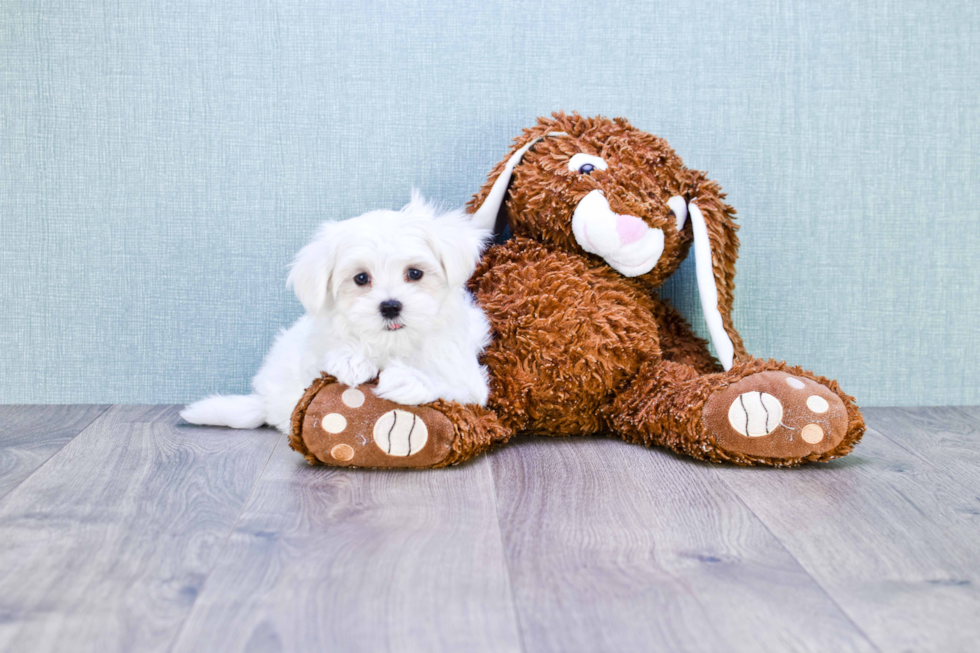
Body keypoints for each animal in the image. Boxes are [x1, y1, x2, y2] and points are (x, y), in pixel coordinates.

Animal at [181, 192, 494, 432]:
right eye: (361, 278)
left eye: (415, 273)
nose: (390, 306)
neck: (392, 344)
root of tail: (265, 402)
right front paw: (351, 359)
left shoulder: (469, 379)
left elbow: (452, 383)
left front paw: (407, 378)